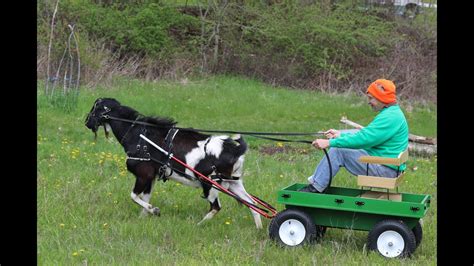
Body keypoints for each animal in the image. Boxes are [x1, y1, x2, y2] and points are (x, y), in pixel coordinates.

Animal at [85, 97, 262, 229]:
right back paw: (259, 229)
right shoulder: (151, 177)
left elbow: (134, 196)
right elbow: (144, 198)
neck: (140, 135)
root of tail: (235, 149)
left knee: (216, 207)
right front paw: (144, 217)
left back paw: (199, 225)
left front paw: (154, 210)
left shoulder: (143, 175)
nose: (86, 122)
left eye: (94, 108)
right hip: (233, 184)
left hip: (210, 185)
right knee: (253, 205)